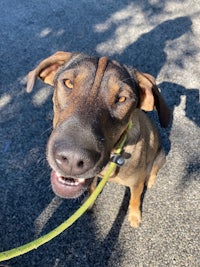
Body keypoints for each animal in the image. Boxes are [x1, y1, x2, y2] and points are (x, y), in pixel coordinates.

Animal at [26, 52, 170, 228]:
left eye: (122, 98)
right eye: (68, 83)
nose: (72, 159)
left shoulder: (136, 184)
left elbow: (135, 200)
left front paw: (135, 216)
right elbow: (91, 188)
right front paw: (89, 202)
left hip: (161, 155)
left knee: (154, 170)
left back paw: (150, 180)